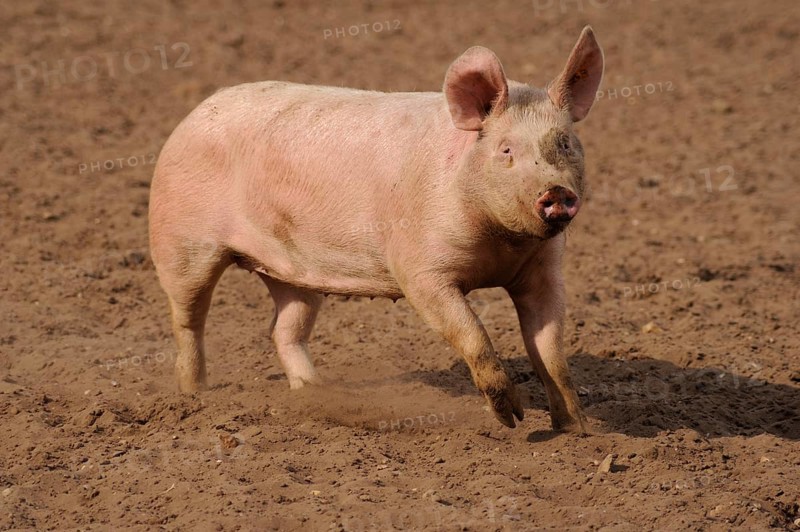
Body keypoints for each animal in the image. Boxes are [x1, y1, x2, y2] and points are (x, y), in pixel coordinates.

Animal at [149, 26, 604, 432]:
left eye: (565, 143)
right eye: (506, 150)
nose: (556, 192)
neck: (502, 245)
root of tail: (195, 113)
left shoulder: (543, 271)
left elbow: (551, 350)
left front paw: (577, 429)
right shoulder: (418, 268)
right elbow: (470, 331)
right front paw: (513, 418)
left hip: (294, 272)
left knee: (283, 328)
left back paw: (316, 392)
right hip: (179, 239)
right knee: (187, 319)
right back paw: (195, 395)